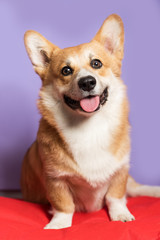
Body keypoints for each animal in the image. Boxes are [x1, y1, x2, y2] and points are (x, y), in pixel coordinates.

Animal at [21, 13, 160, 229]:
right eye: (66, 70)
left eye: (96, 63)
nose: (87, 82)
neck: (89, 127)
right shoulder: (55, 179)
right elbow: (63, 205)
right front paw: (59, 225)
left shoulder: (120, 171)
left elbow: (115, 197)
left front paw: (121, 215)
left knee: (136, 188)